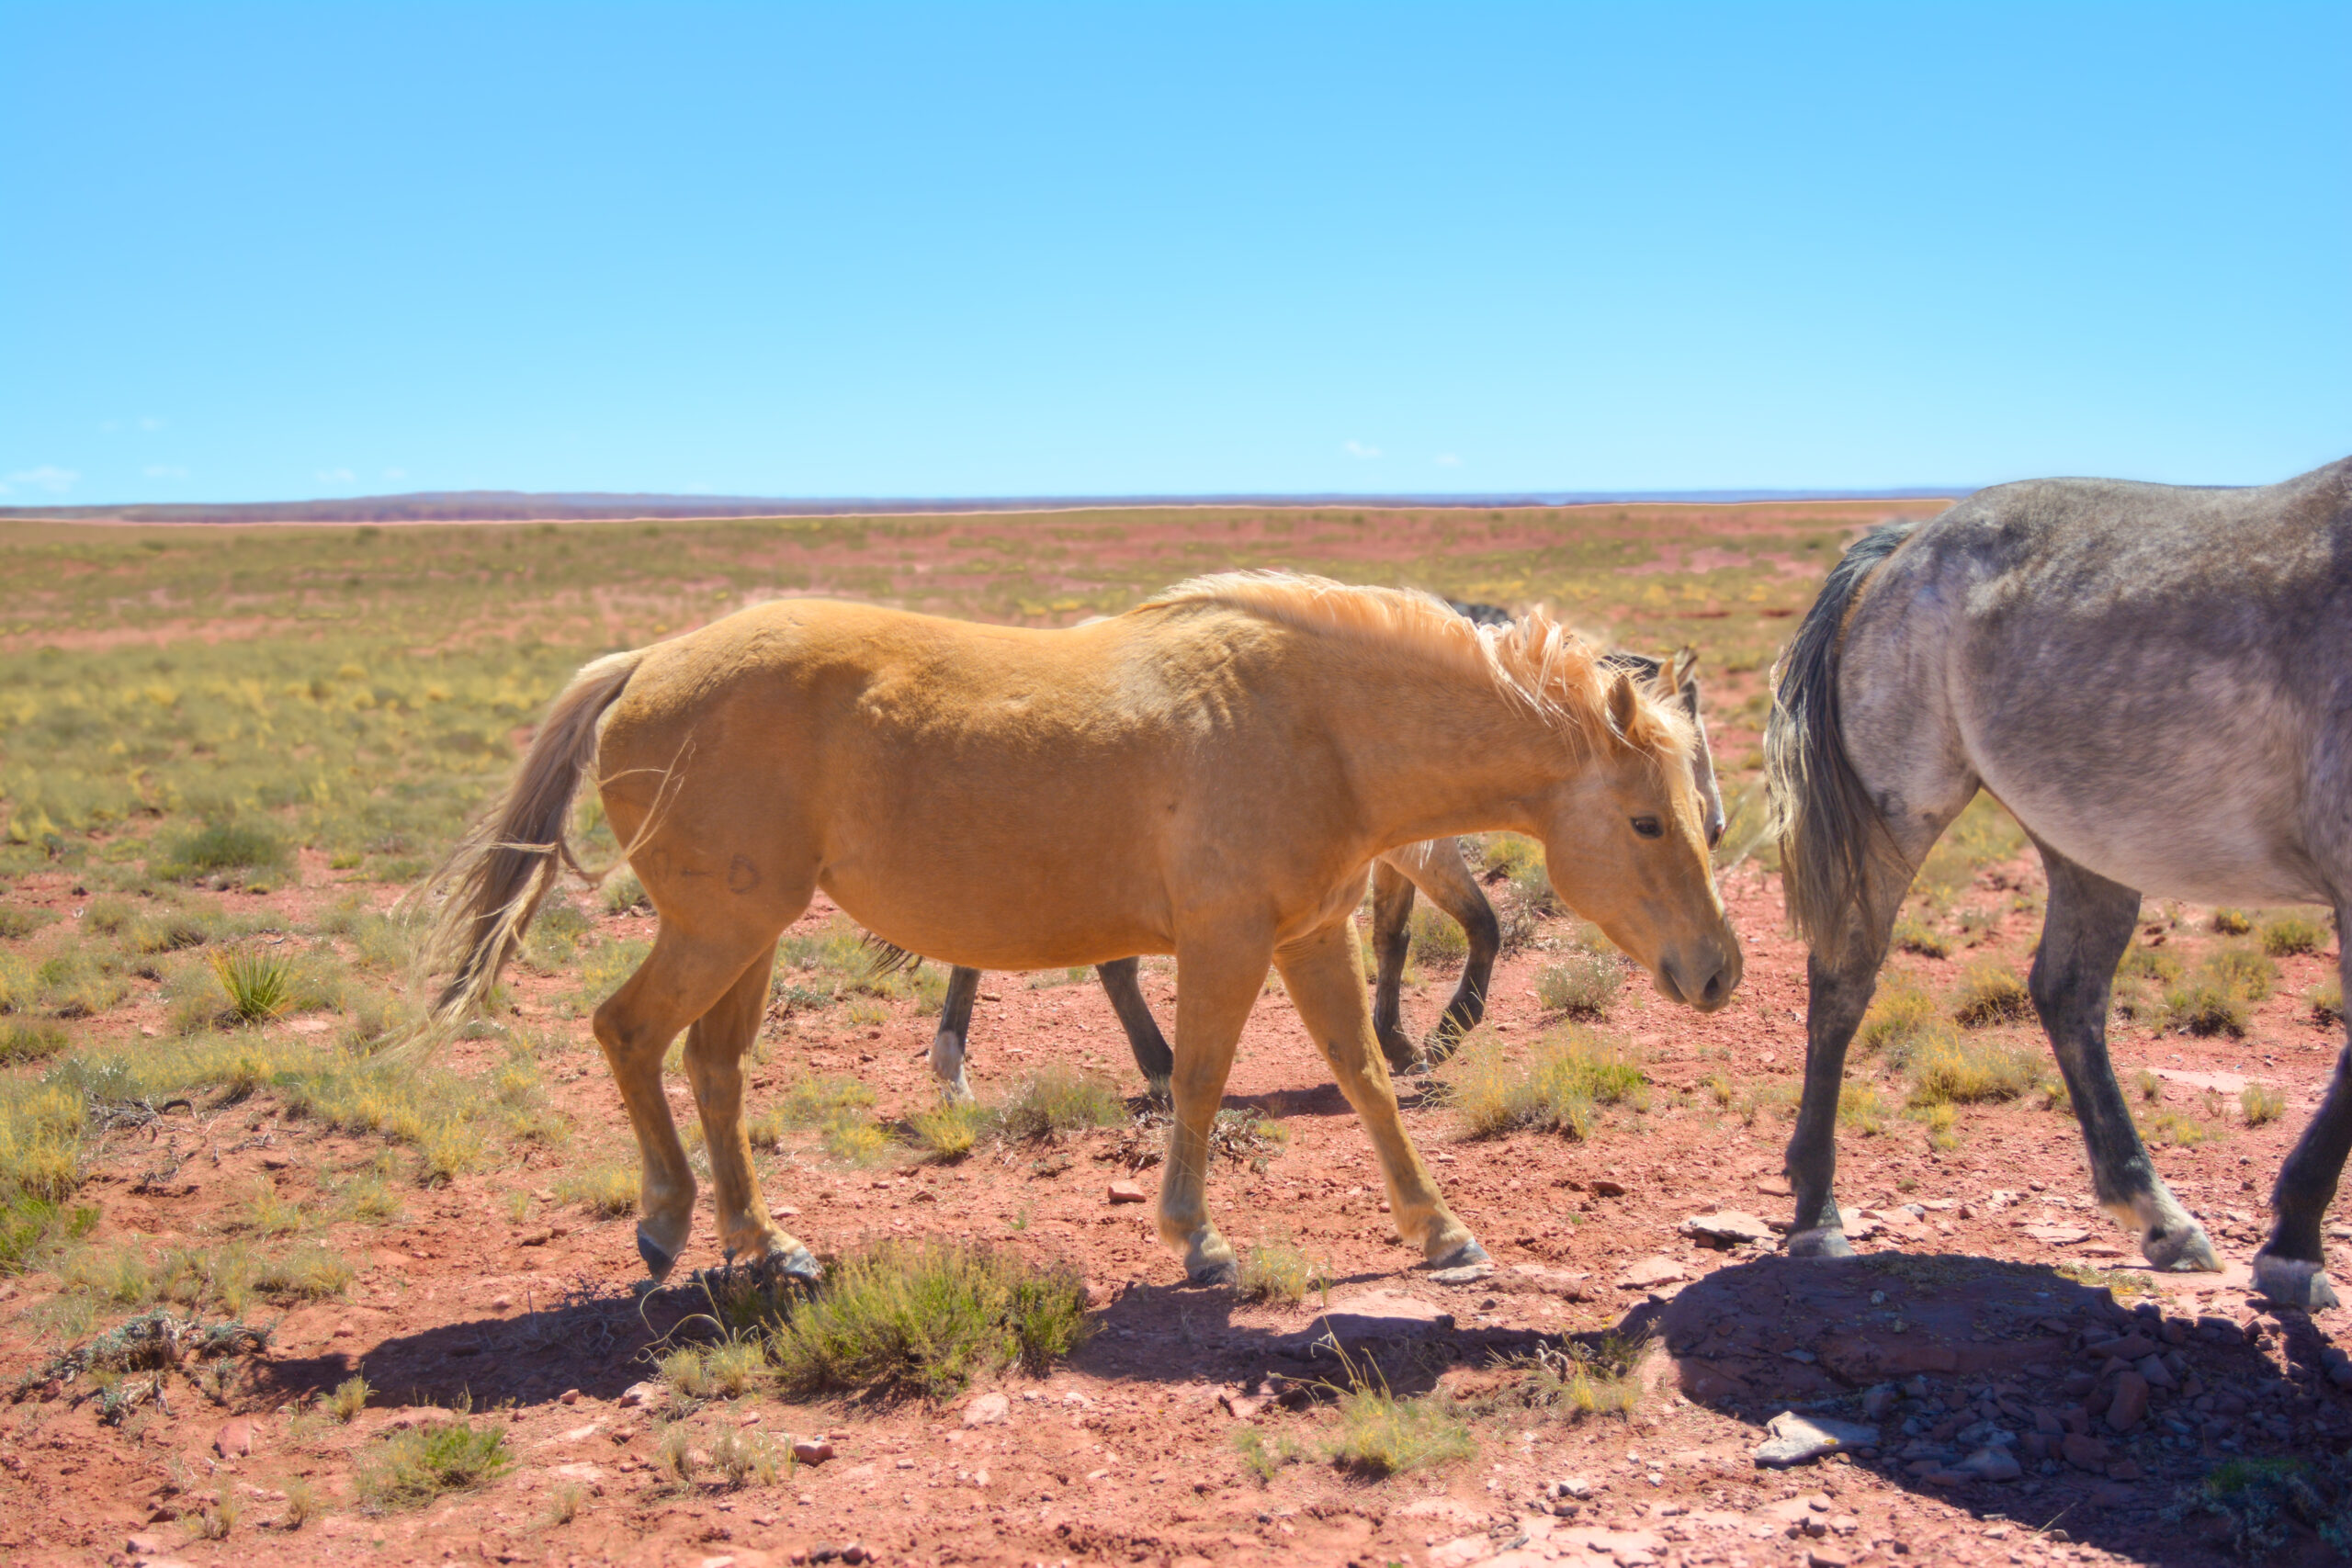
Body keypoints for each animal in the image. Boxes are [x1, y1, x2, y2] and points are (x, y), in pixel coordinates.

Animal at [920, 647, 1725, 1100]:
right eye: (1689, 750)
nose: (1716, 822)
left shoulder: (1397, 851)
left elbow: (1396, 938)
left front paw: (1399, 1041)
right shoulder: (1417, 848)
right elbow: (1484, 922)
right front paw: (1446, 1031)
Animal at [1765, 455, 2352, 1309]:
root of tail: (1907, 545)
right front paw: (2295, 1247)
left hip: (2087, 836)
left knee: (2066, 989)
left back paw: (2160, 1216)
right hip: (1900, 815)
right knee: (1844, 982)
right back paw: (1818, 1216)